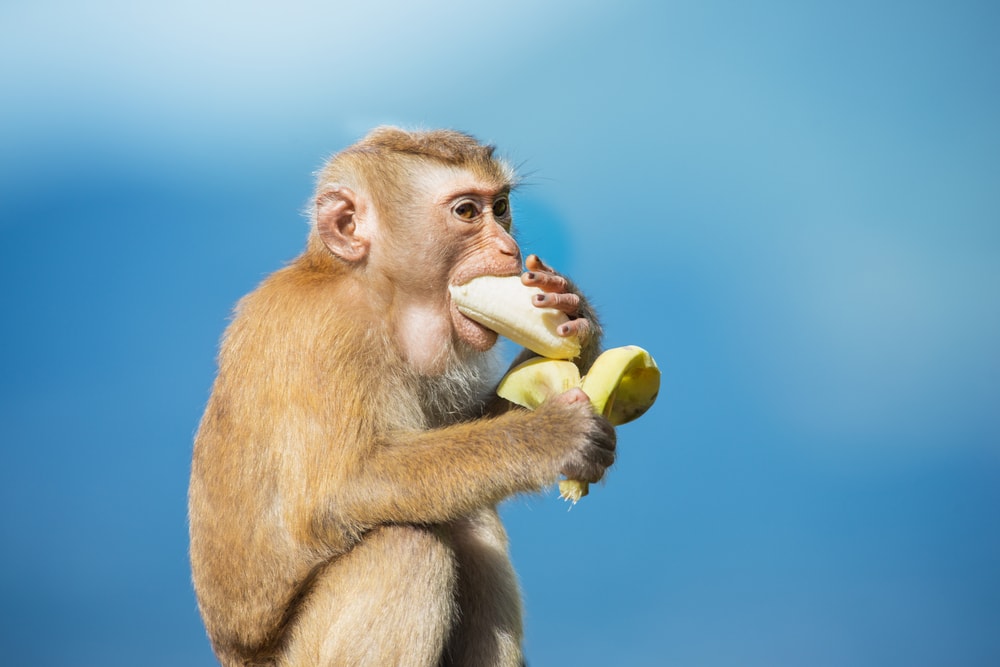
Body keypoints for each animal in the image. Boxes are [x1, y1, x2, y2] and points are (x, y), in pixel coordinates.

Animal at [188, 127, 616, 667]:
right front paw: (552, 436)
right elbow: (343, 487)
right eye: (467, 212)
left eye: (500, 207)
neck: (376, 291)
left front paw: (574, 312)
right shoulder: (329, 337)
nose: (510, 250)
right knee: (405, 547)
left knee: (470, 526)